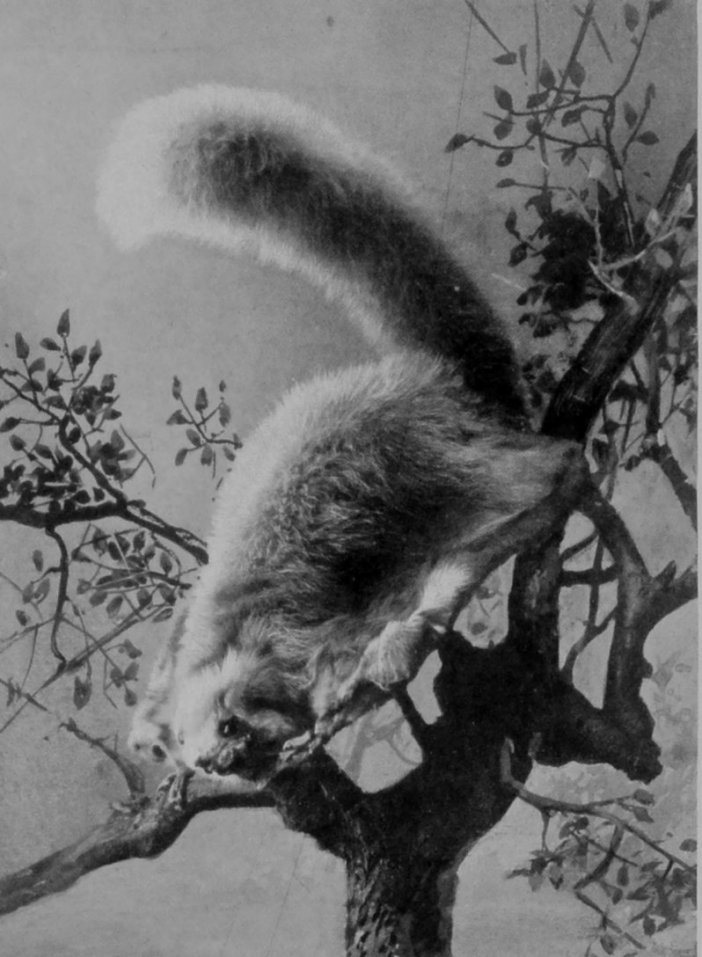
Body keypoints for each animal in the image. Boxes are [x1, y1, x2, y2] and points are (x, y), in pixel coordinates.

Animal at [97, 85, 587, 780]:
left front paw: (360, 689)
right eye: (197, 757)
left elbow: (409, 616)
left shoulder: (322, 630)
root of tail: (427, 377)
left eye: (229, 725)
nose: (219, 763)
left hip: (435, 454)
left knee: (537, 473)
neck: (238, 631)